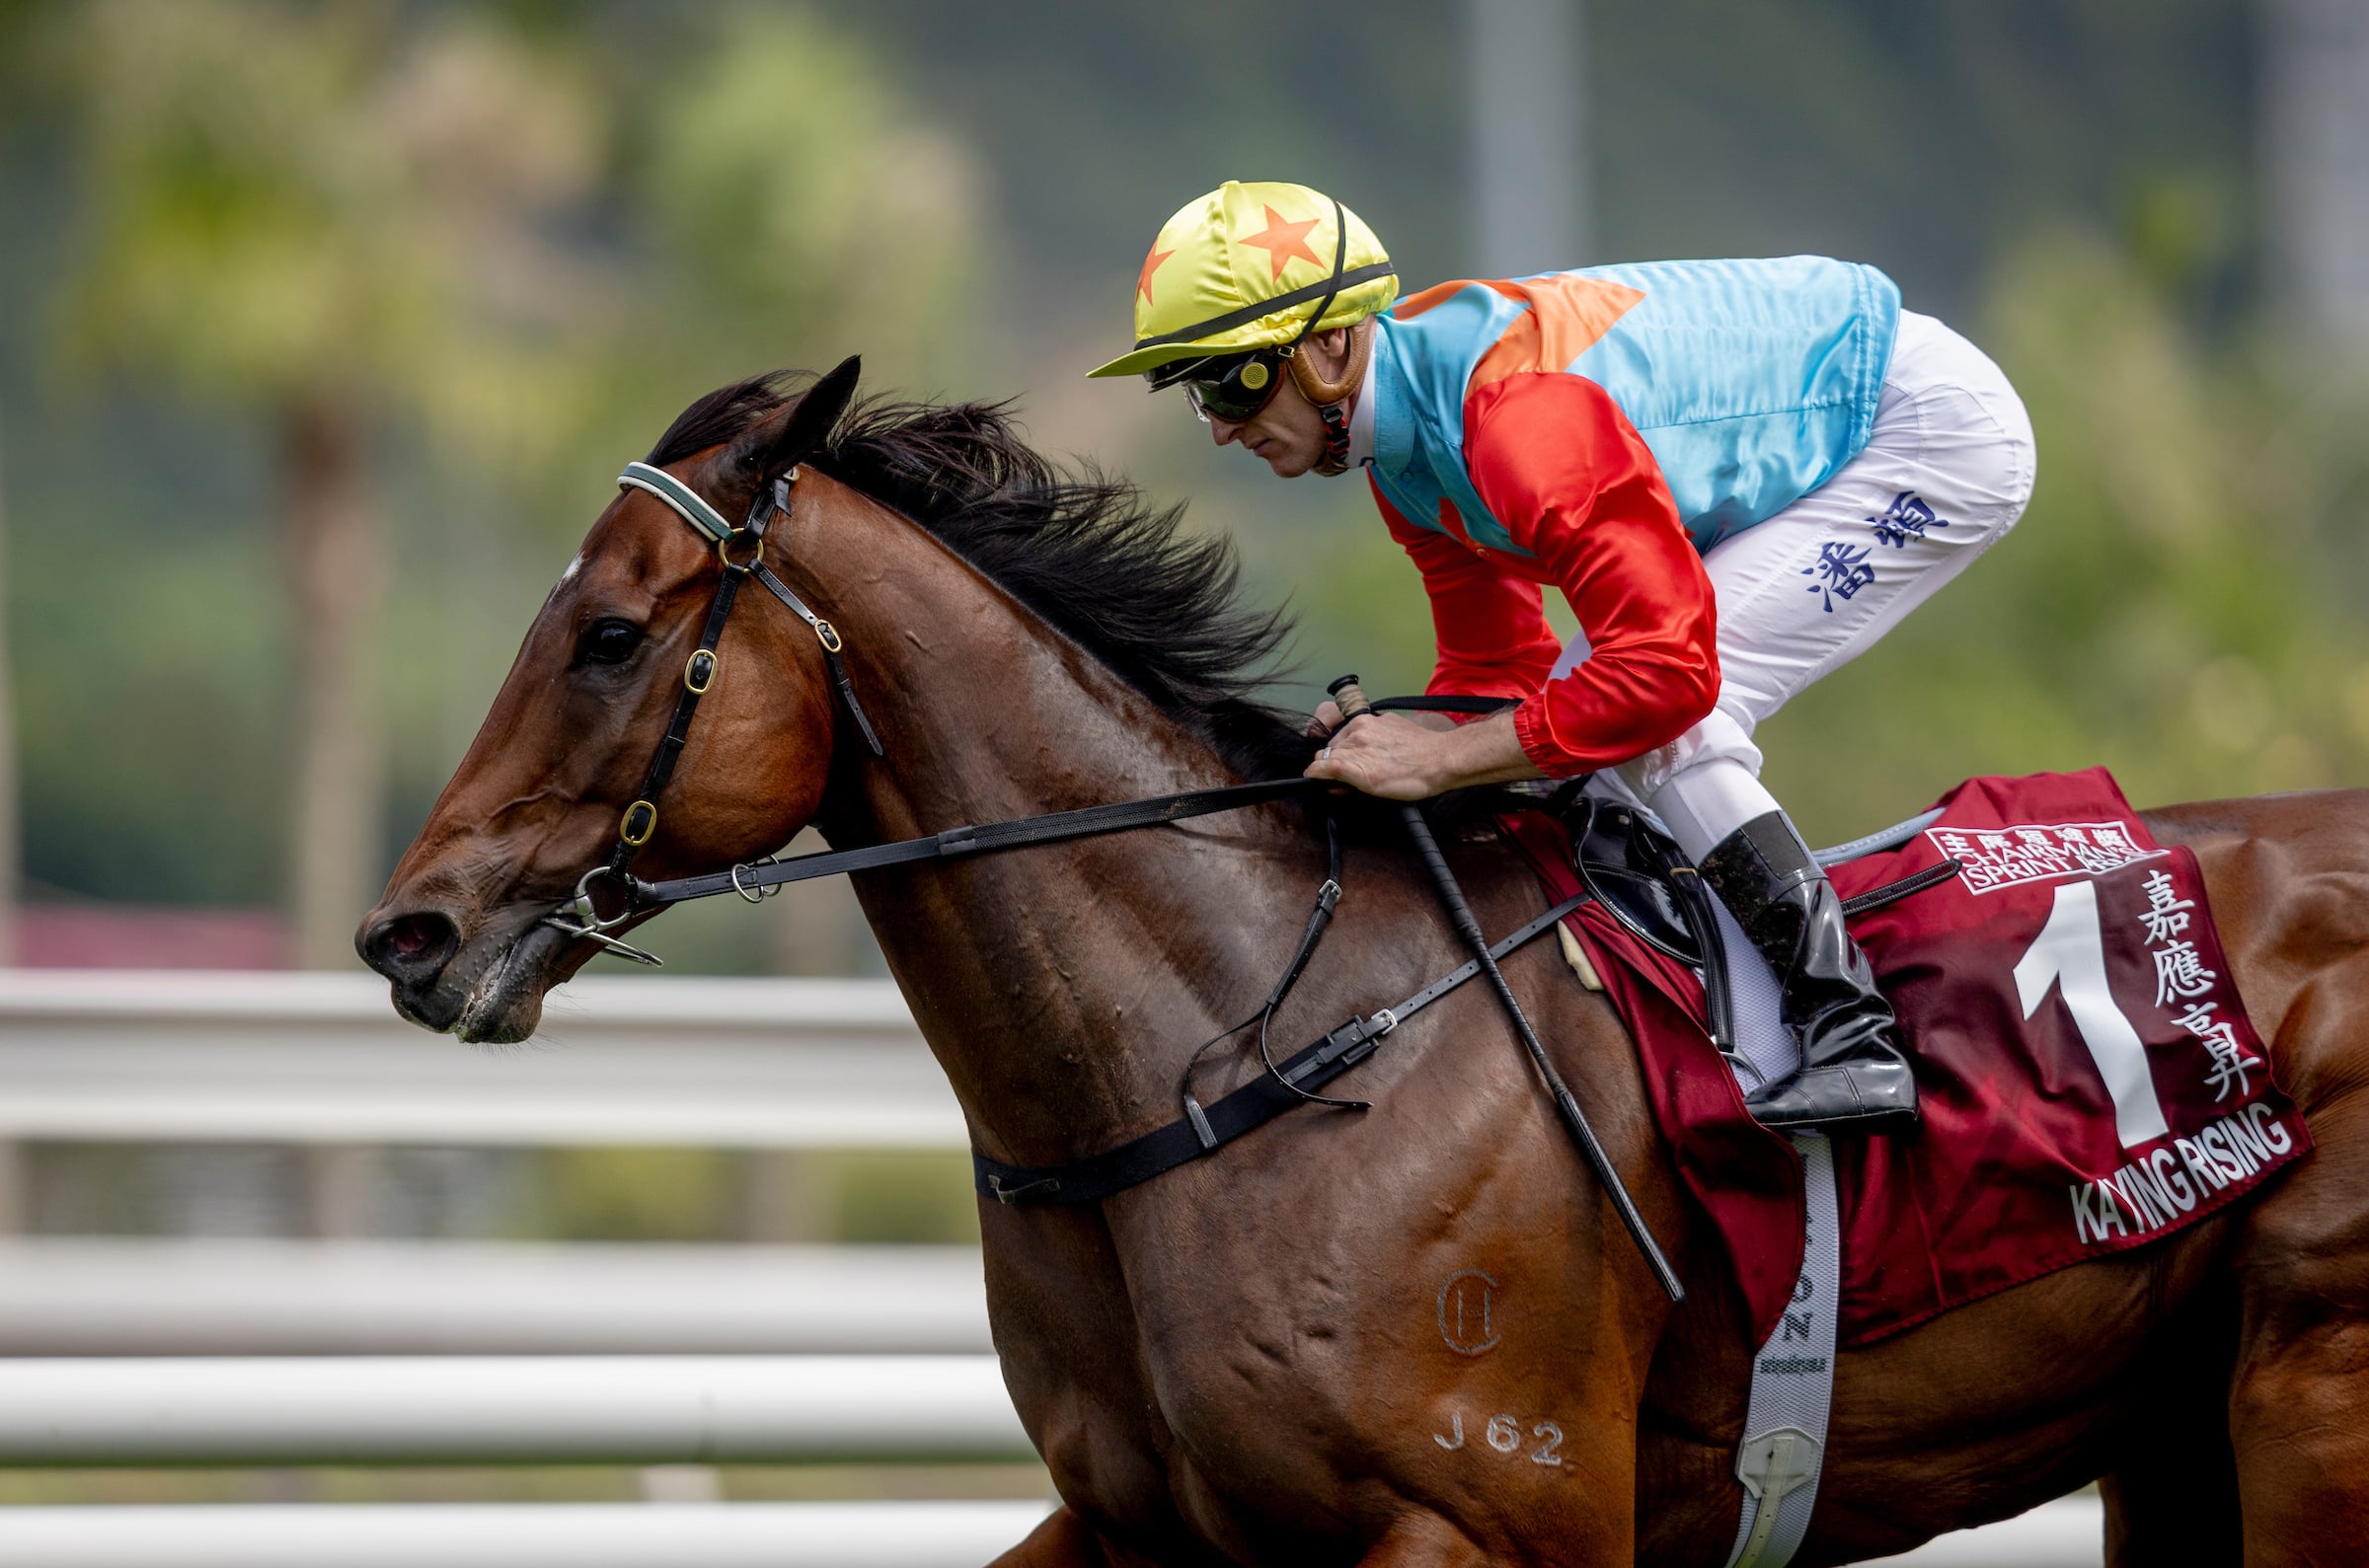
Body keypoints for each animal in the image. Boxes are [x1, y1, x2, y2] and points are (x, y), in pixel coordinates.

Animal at [359, 363, 2369, 1565]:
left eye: (612, 635)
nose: (409, 930)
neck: (1232, 1045)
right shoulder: (1132, 1521)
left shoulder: (1496, 1519)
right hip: (2174, 1429)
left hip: (2307, 1397)